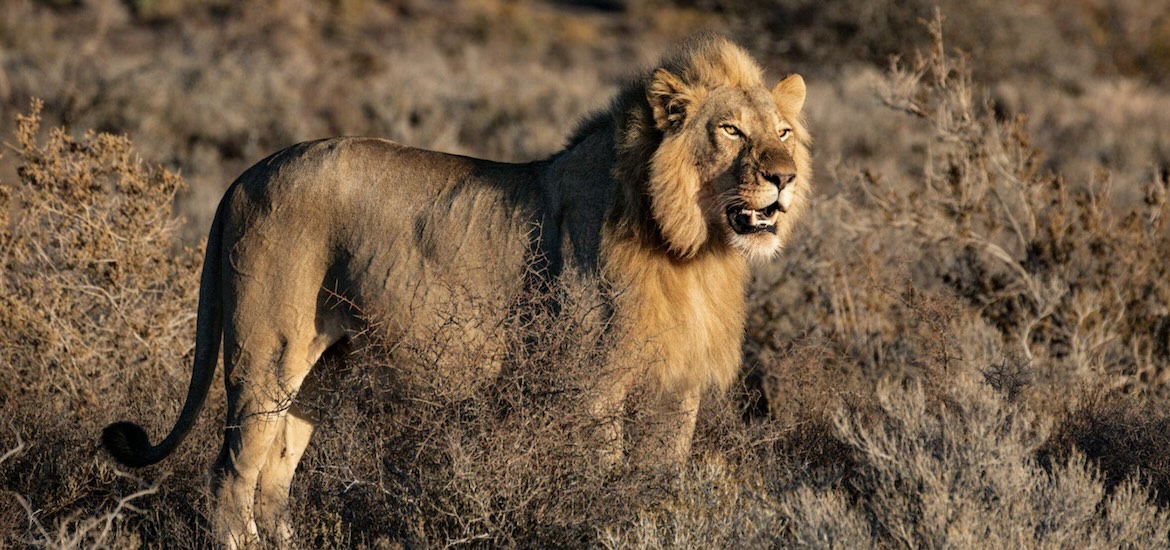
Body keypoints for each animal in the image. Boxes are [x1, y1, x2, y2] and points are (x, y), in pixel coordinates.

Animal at [101, 35, 810, 547]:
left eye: (783, 132)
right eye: (730, 131)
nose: (784, 177)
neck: (692, 248)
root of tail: (244, 175)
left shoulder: (676, 387)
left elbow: (659, 483)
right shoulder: (594, 385)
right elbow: (604, 482)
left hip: (325, 367)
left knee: (276, 472)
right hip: (265, 352)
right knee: (231, 472)